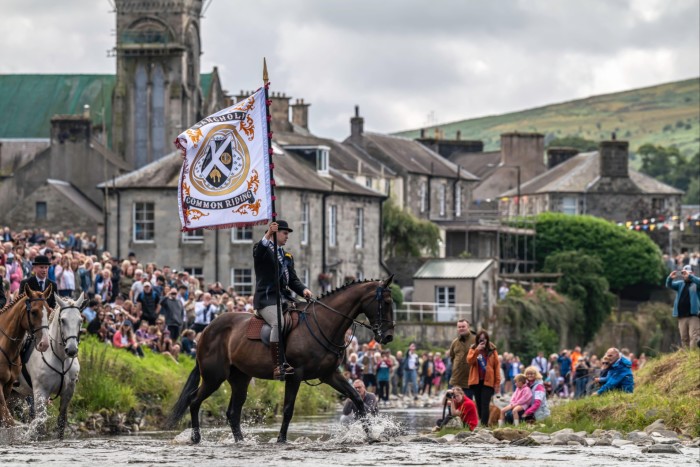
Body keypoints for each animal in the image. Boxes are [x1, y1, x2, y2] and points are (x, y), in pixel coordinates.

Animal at [14, 292, 82, 438]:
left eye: (80, 320)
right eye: (63, 320)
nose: (72, 350)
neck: (60, 358)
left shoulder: (68, 393)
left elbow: (61, 423)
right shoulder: (41, 393)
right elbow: (40, 425)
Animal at [168, 276, 394, 444]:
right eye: (386, 302)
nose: (389, 337)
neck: (323, 323)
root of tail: (206, 330)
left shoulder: (330, 375)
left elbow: (357, 399)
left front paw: (370, 435)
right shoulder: (295, 375)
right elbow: (287, 409)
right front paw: (281, 440)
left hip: (240, 379)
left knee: (233, 412)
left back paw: (240, 441)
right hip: (213, 377)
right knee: (194, 400)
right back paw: (196, 438)